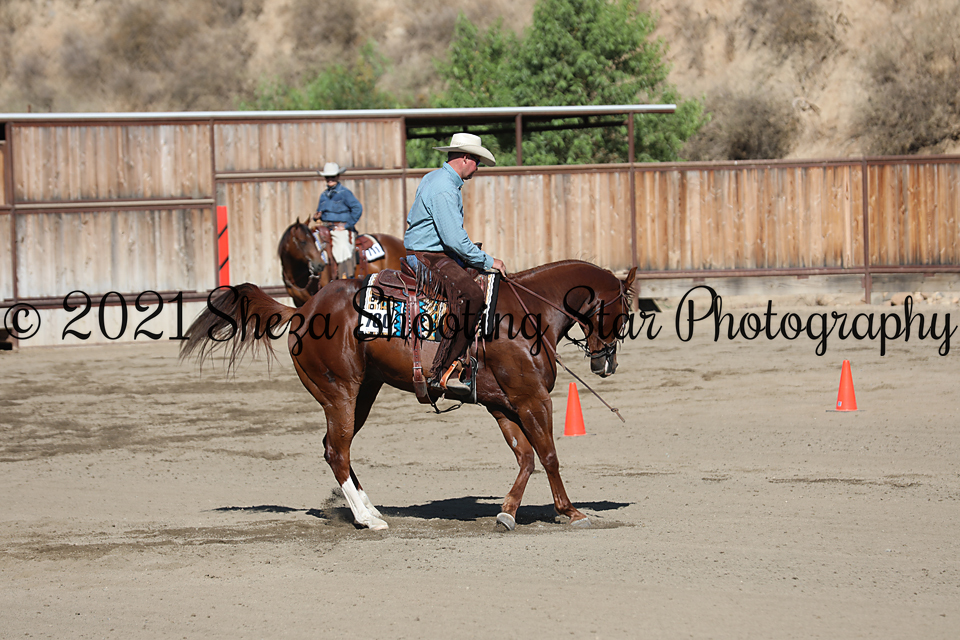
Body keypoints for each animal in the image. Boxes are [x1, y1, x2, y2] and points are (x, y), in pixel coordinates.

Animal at [181, 260, 637, 531]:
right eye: (626, 312)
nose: (607, 364)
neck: (527, 314)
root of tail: (302, 310)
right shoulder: (532, 399)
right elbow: (549, 454)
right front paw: (570, 511)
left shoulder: (503, 404)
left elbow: (526, 457)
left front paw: (507, 512)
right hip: (340, 393)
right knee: (337, 451)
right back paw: (369, 520)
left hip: (363, 393)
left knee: (335, 448)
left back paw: (369, 509)